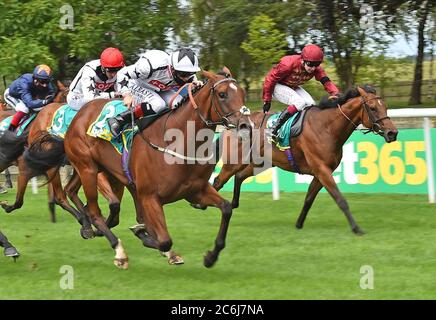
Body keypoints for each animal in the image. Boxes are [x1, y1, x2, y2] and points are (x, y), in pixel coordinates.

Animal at [25, 69, 250, 268]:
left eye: (241, 93)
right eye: (222, 94)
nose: (245, 125)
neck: (177, 141)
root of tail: (77, 116)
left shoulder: (195, 191)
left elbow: (226, 208)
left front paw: (211, 256)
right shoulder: (150, 196)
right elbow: (164, 239)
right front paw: (146, 237)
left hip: (105, 172)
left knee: (76, 194)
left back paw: (90, 227)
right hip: (87, 169)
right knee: (91, 209)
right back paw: (117, 249)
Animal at [213, 85, 396, 235]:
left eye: (385, 107)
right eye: (372, 108)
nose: (392, 133)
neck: (326, 127)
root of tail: (230, 126)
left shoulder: (321, 172)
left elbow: (309, 198)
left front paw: (299, 223)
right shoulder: (322, 170)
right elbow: (340, 199)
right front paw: (356, 228)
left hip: (260, 163)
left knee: (239, 176)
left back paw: (234, 203)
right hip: (234, 163)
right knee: (217, 181)